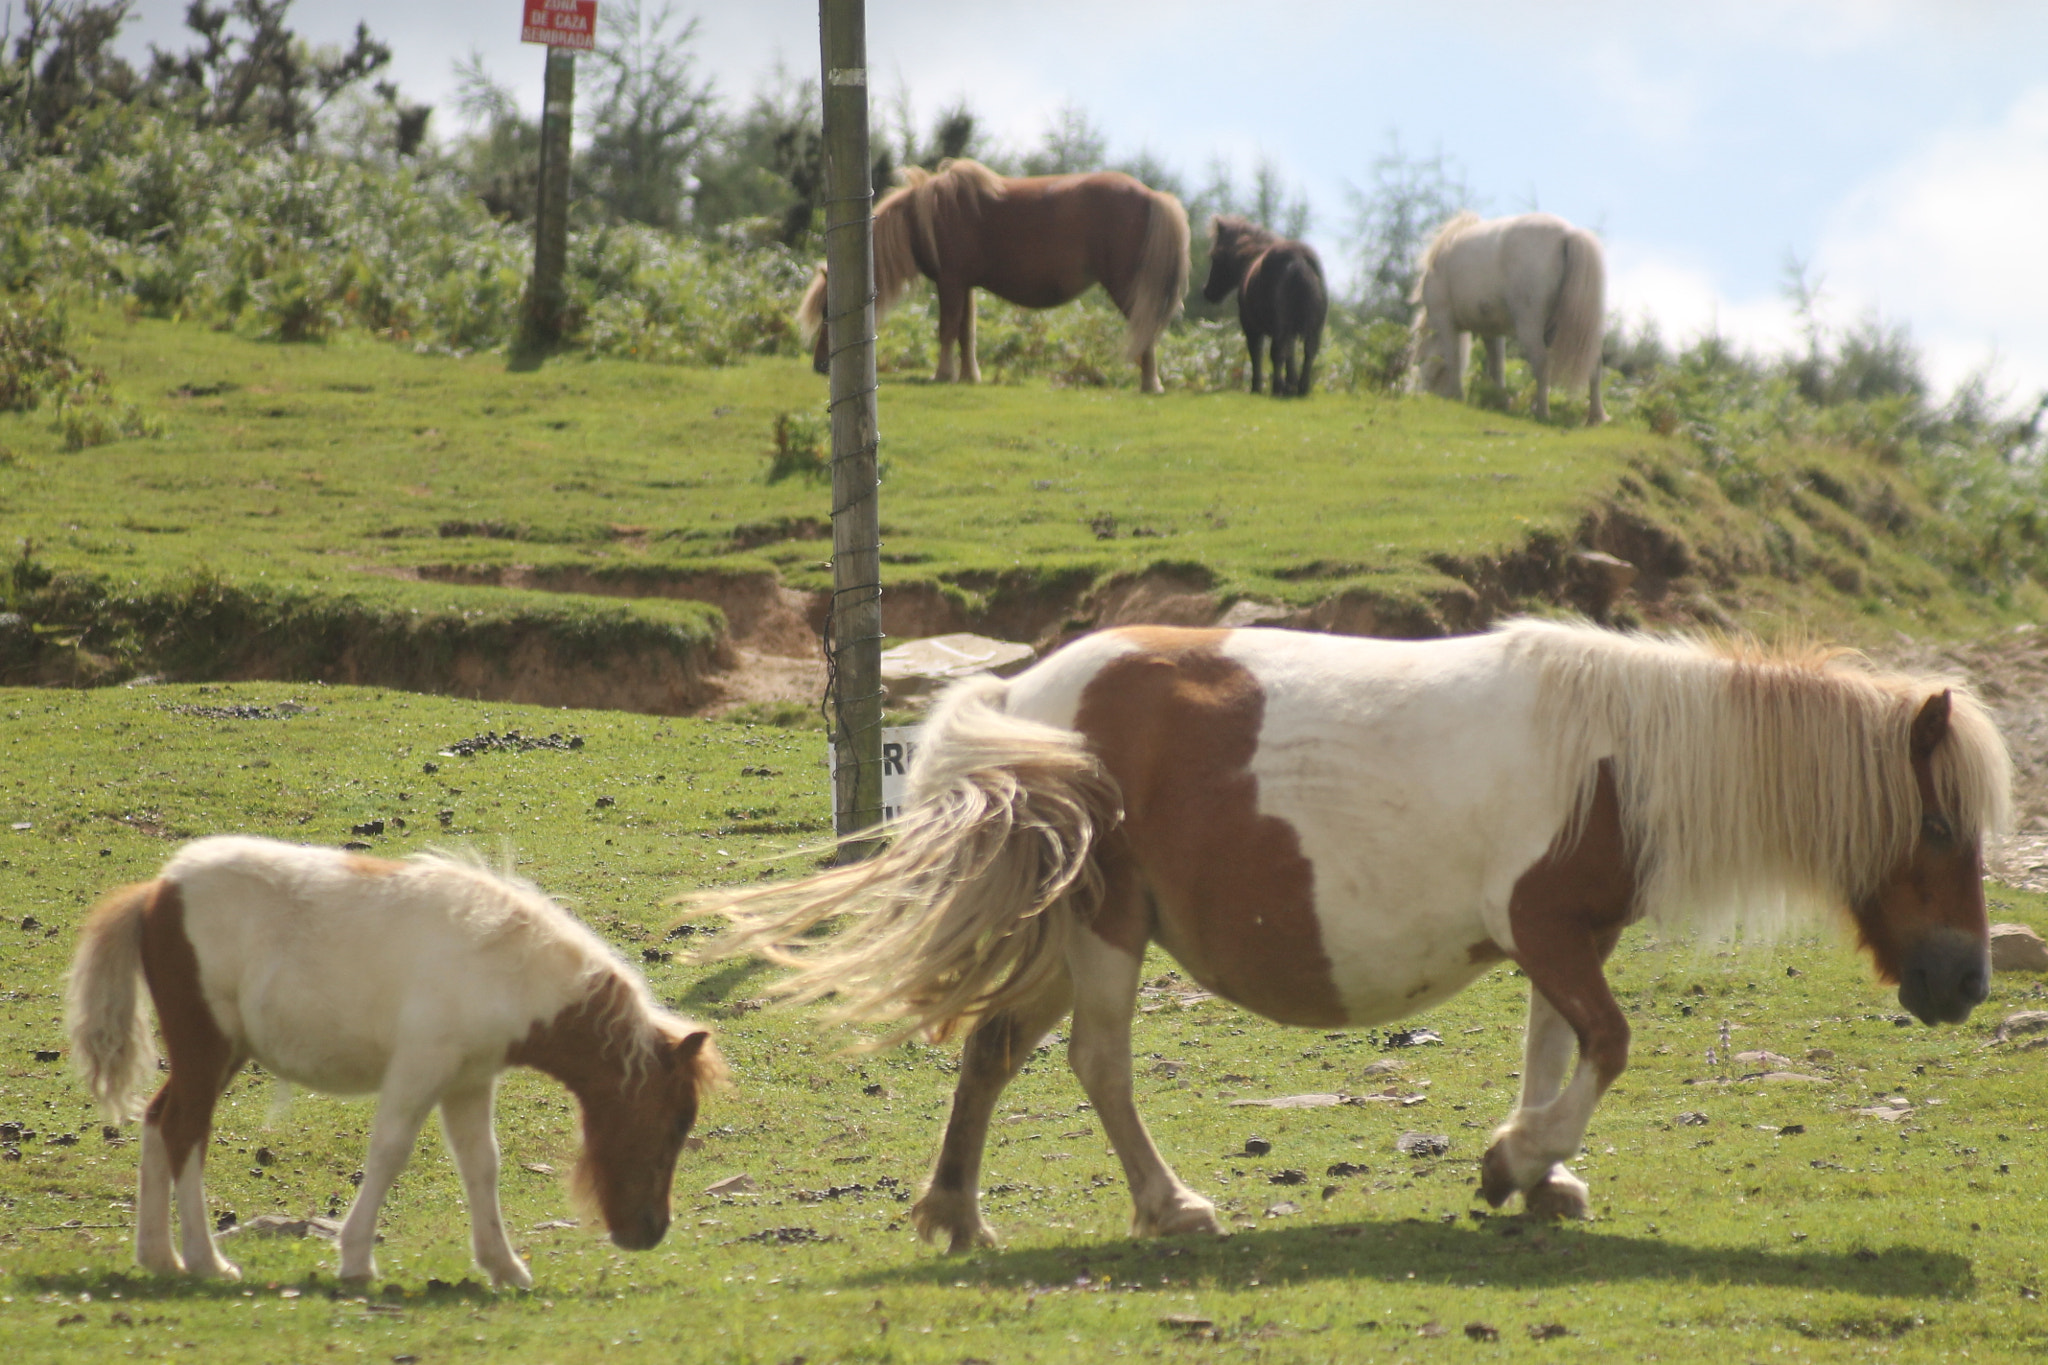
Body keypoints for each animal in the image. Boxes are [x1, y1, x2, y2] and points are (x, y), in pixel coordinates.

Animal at [68, 834, 724, 1293]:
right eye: (675, 1124)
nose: (650, 1232)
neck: (504, 968)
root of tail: (156, 891)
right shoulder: (420, 1068)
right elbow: (388, 1153)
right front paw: (357, 1260)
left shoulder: (468, 1081)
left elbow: (481, 1165)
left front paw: (503, 1266)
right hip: (207, 1047)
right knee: (185, 1131)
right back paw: (207, 1262)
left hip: (218, 1054)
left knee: (160, 1121)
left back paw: (159, 1256)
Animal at [712, 622, 2007, 1252]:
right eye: (1938, 823)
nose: (1965, 983)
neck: (1619, 757)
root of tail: (1021, 697)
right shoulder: (1546, 930)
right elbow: (1607, 1047)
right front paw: (1514, 1160)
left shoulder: (1560, 941)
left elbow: (1554, 1051)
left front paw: (1539, 1177)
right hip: (1104, 930)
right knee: (1094, 1062)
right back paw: (1167, 1207)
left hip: (1071, 935)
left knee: (993, 1050)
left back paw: (956, 1215)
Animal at [794, 161, 1196, 394]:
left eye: (829, 311)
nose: (819, 365)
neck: (924, 218)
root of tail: (1153, 196)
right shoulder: (965, 285)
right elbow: (966, 333)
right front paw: (969, 376)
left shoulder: (950, 283)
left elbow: (946, 330)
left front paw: (941, 375)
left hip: (1127, 287)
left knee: (1145, 329)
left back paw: (1150, 384)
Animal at [1196, 213, 1327, 394]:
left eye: (1214, 255)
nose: (1207, 292)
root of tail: (1297, 260)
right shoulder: (1291, 331)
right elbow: (1291, 355)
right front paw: (1290, 384)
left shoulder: (1251, 328)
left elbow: (1256, 353)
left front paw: (1256, 387)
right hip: (1314, 326)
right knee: (1309, 351)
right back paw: (1300, 389)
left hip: (1279, 325)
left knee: (1277, 352)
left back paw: (1277, 388)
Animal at [1417, 213, 1605, 423]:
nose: (1428, 394)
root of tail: (1567, 234)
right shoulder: (1491, 331)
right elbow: (1497, 366)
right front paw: (1500, 400)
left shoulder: (1444, 322)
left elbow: (1453, 358)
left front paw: (1457, 395)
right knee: (1594, 365)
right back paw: (1595, 417)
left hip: (1530, 328)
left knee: (1542, 363)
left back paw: (1541, 411)